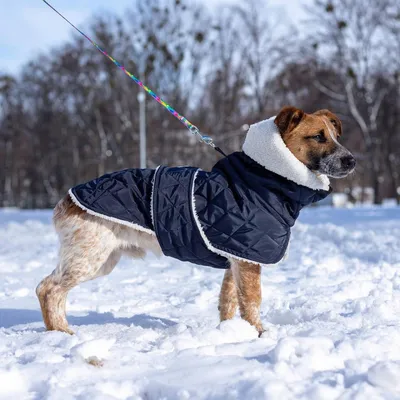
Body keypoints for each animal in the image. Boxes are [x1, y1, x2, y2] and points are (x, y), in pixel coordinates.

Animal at [36, 105, 354, 334]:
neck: (264, 180)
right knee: (48, 289)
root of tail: (65, 201)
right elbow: (251, 303)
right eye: (317, 136)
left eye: (335, 136)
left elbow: (228, 302)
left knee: (50, 288)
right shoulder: (248, 262)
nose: (352, 160)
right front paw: (260, 334)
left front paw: (230, 333)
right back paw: (63, 334)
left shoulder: (235, 259)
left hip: (101, 260)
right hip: (89, 258)